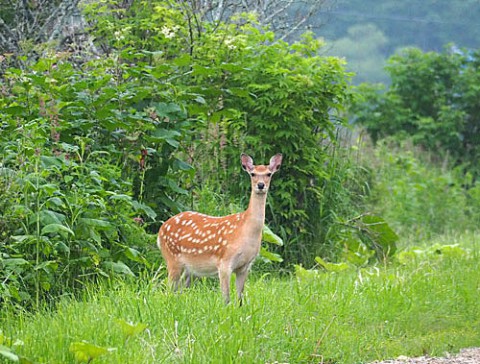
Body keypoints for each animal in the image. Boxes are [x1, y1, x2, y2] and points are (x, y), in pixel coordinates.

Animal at [156, 153, 284, 304]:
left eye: (269, 174)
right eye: (252, 174)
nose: (260, 185)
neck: (246, 231)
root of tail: (160, 231)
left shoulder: (245, 266)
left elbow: (240, 298)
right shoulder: (224, 262)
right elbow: (226, 298)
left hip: (190, 269)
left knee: (178, 291)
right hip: (172, 258)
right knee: (168, 290)